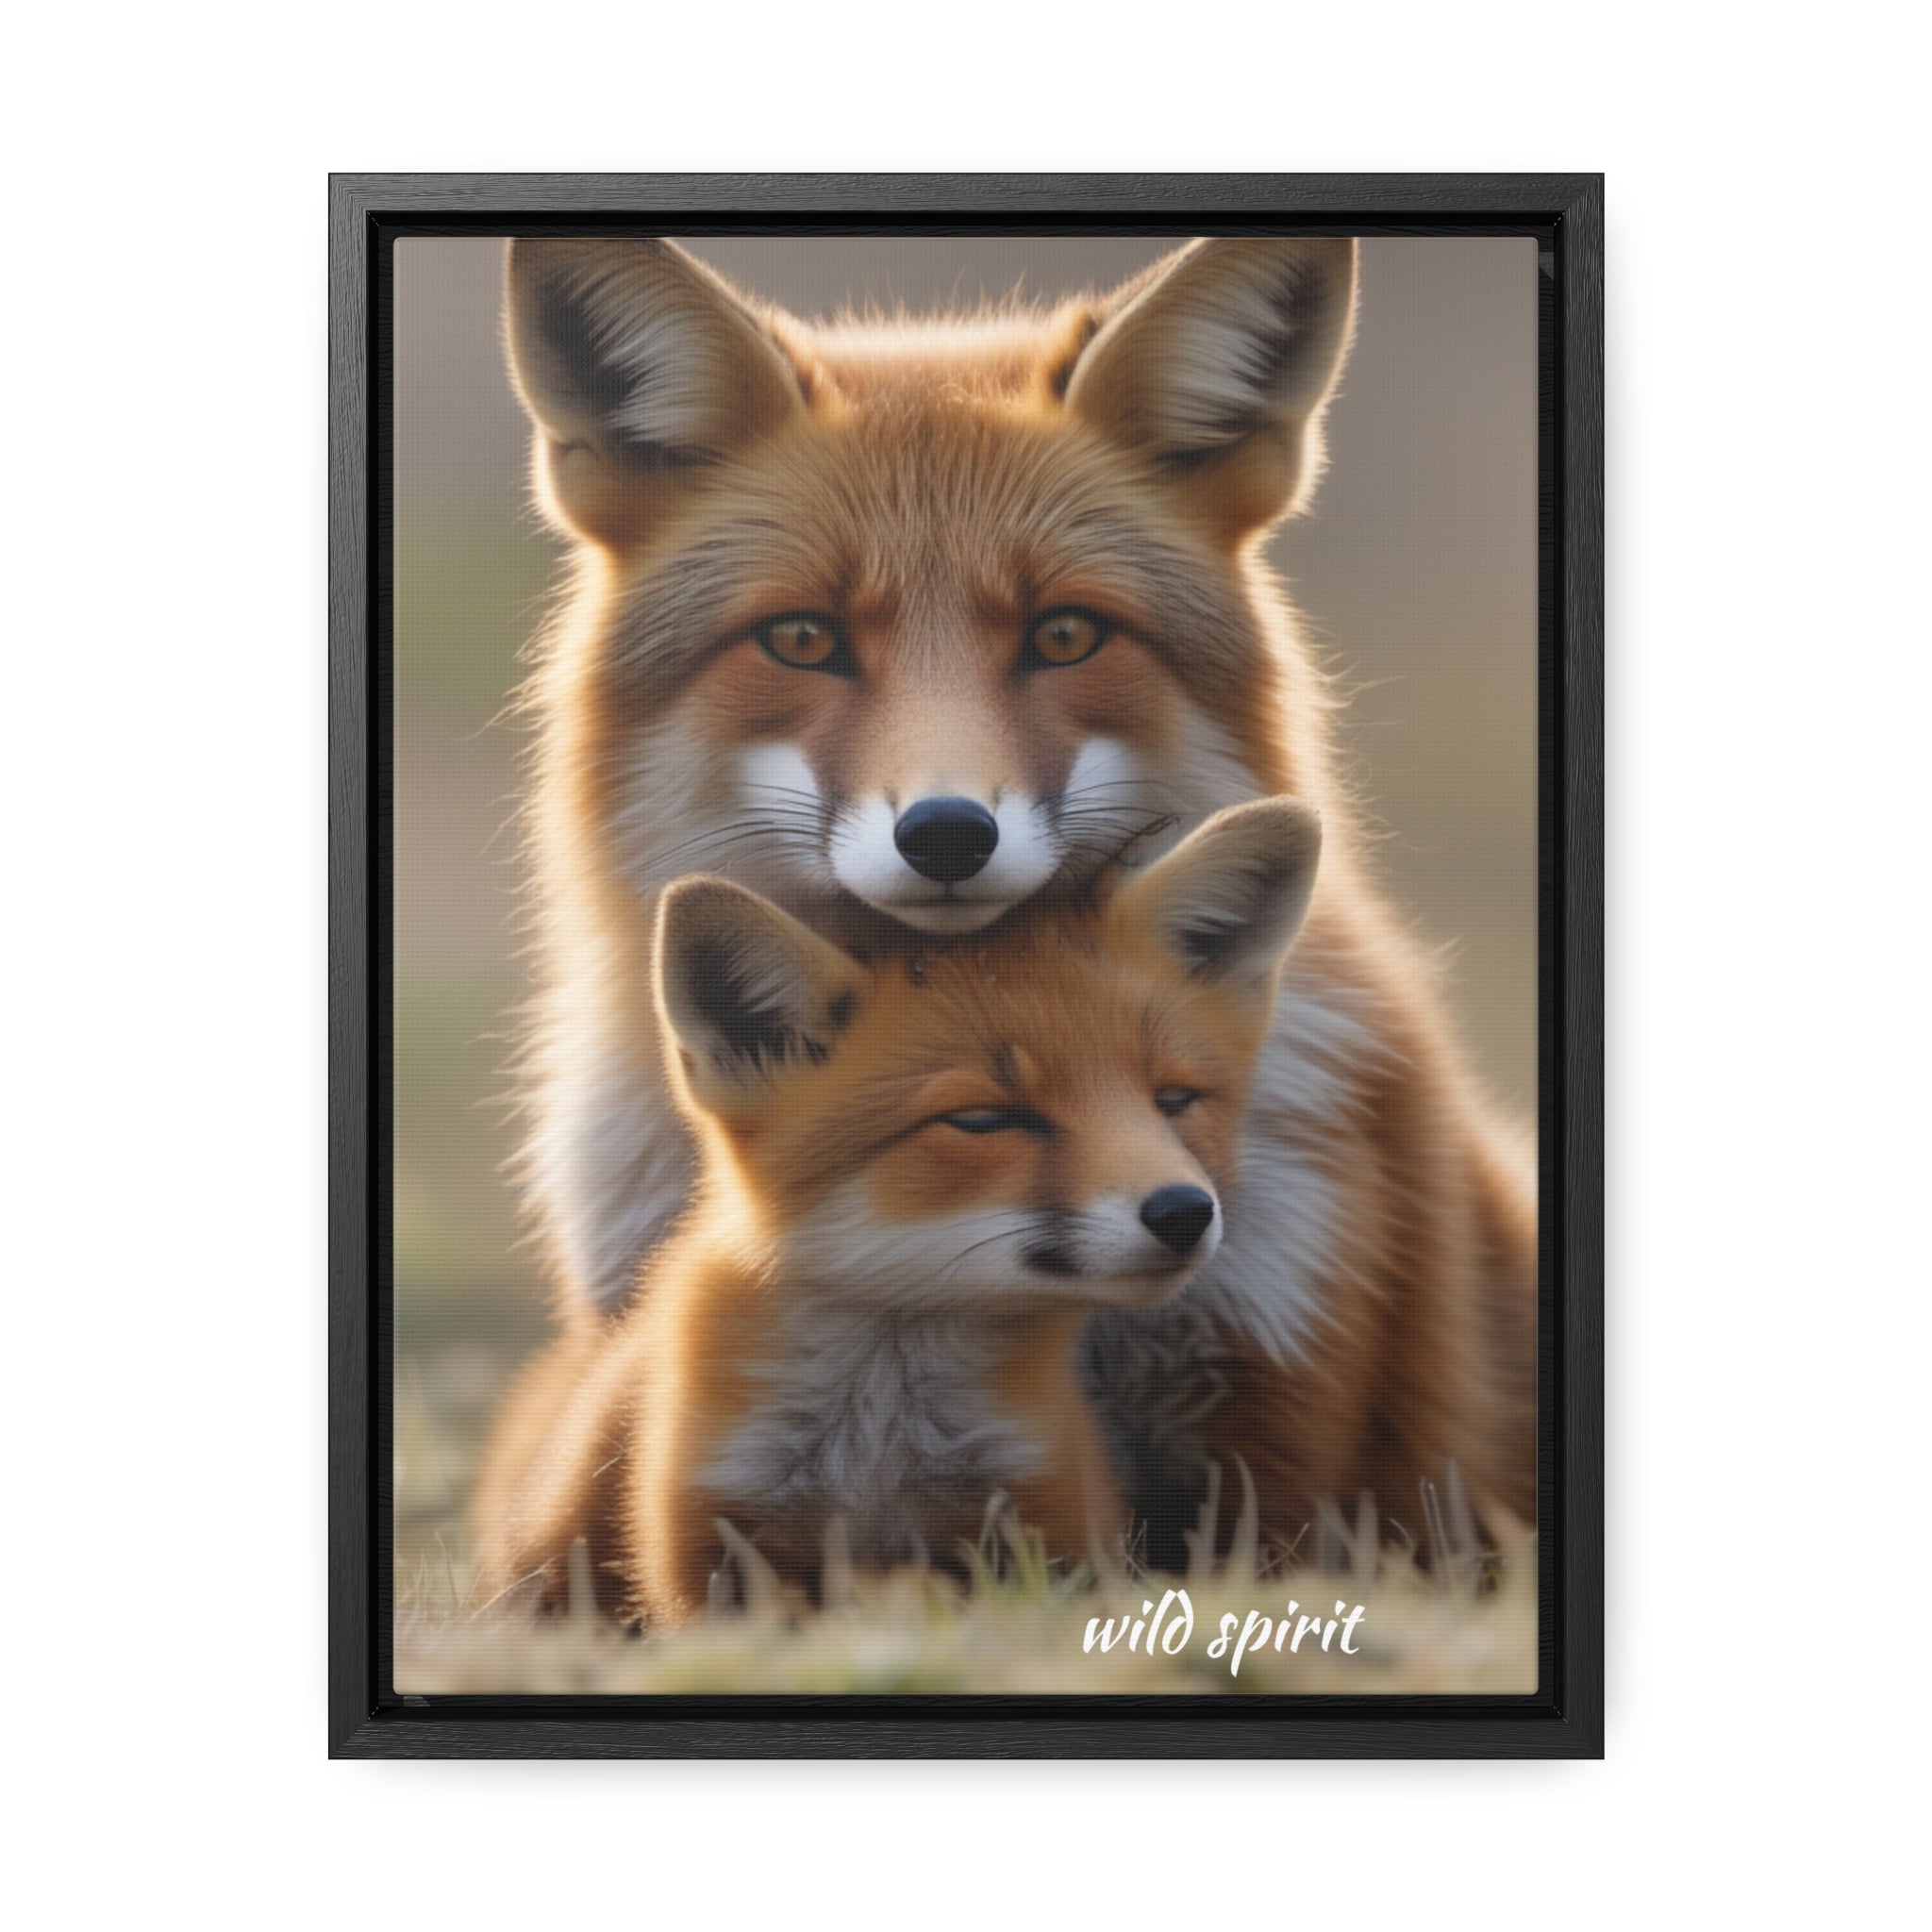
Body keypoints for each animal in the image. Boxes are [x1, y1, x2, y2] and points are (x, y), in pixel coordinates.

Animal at [471, 799, 1324, 1624]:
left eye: (1174, 1101)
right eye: (984, 1119)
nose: (1184, 1212)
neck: (879, 1442)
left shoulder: (1043, 1520)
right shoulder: (712, 1544)